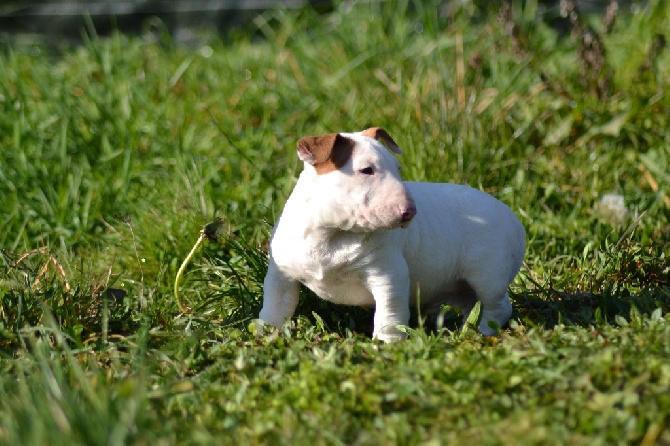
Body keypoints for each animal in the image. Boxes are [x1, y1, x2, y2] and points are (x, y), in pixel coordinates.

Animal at [260, 127, 528, 344]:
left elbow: (389, 311)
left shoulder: (387, 274)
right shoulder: (281, 274)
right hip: (461, 285)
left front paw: (387, 344)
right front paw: (265, 334)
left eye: (398, 169)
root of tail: (516, 222)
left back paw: (483, 332)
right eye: (366, 170)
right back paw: (464, 330)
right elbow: (276, 305)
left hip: (488, 274)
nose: (410, 212)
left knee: (497, 307)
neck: (333, 234)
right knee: (472, 305)